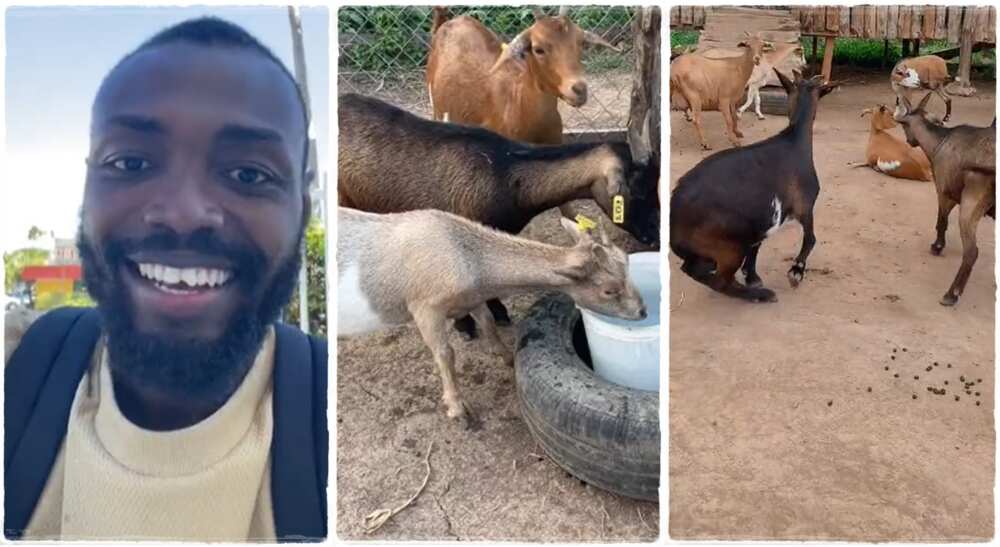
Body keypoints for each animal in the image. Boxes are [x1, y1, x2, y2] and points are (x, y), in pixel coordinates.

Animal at [338, 206, 648, 424]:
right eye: (609, 290)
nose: (642, 311)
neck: (466, 256)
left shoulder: (471, 297)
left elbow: (488, 322)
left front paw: (508, 357)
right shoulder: (425, 307)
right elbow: (445, 353)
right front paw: (457, 408)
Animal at [892, 92, 992, 306]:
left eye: (904, 126)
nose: (910, 141)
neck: (938, 143)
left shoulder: (944, 191)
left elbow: (941, 222)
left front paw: (937, 246)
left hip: (972, 202)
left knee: (972, 251)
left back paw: (952, 294)